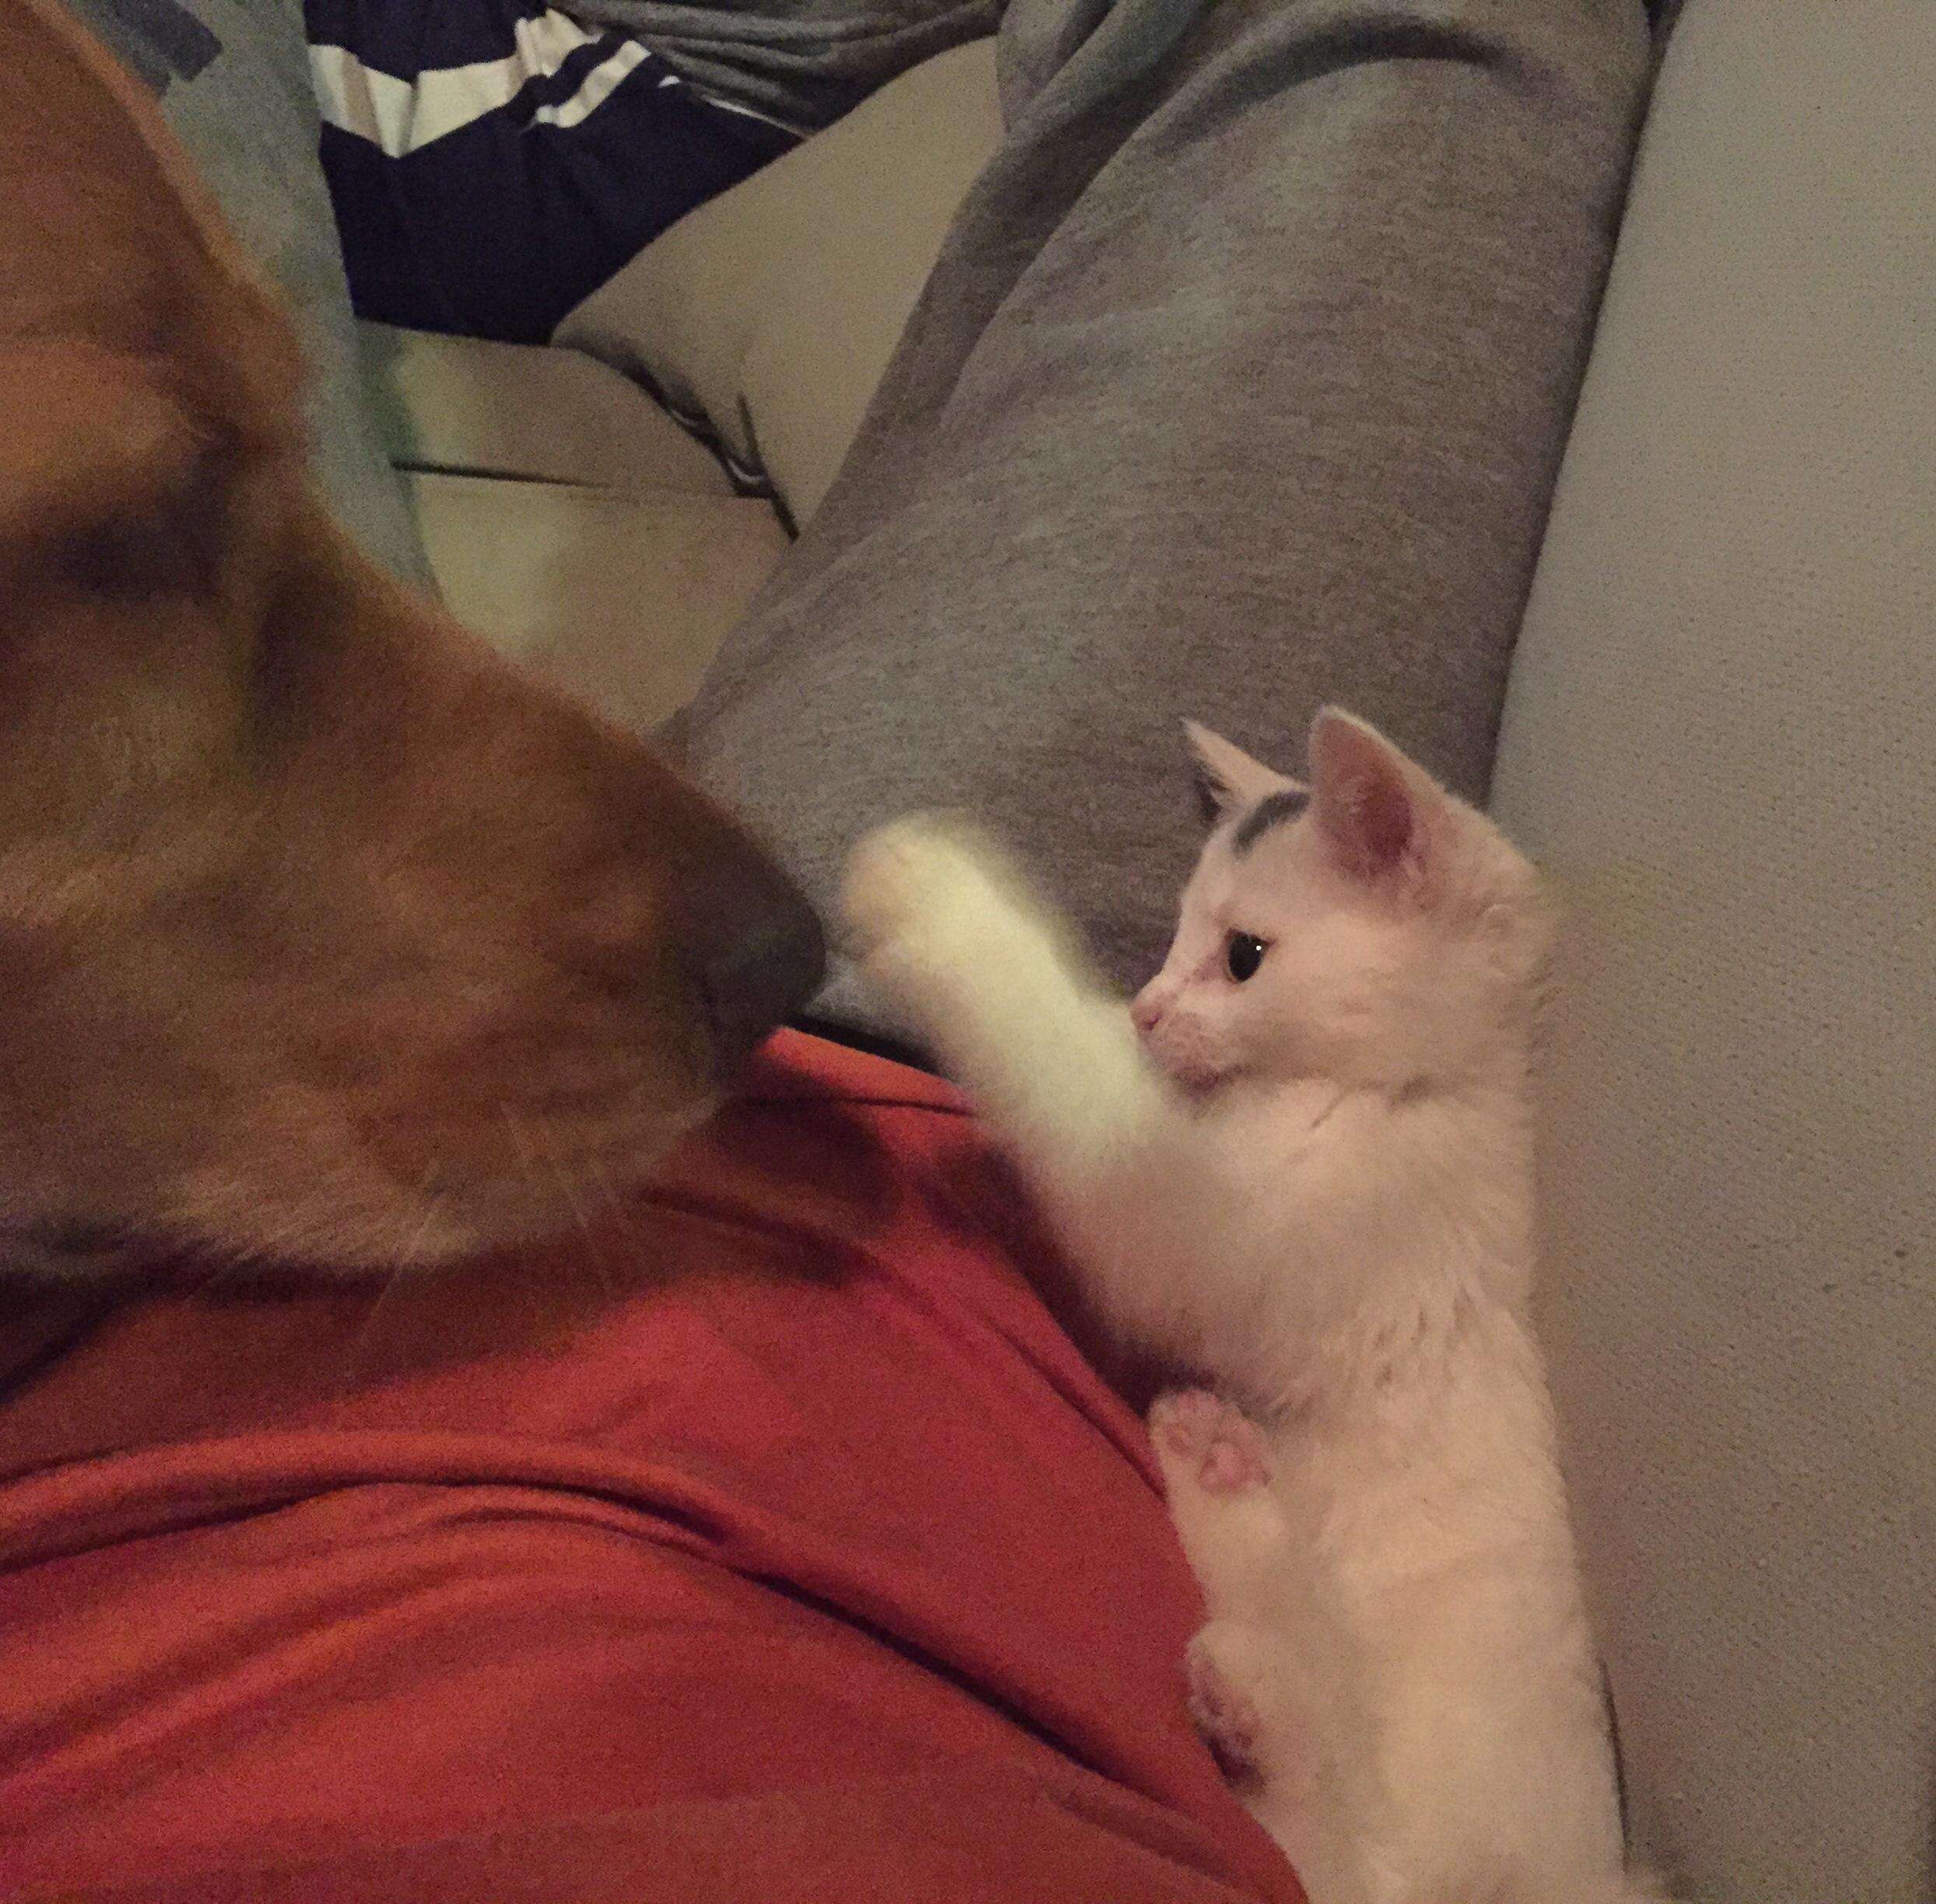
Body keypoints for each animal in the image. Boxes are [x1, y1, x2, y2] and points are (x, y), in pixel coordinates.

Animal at [840, 712, 1657, 1904]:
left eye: (1242, 957)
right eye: (1176, 936)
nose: (1147, 1009)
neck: (1408, 1090)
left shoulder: (1213, 1230)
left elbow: (1089, 1103)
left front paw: (929, 893)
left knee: (1338, 1846)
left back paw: (1256, 1684)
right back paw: (1220, 1474)